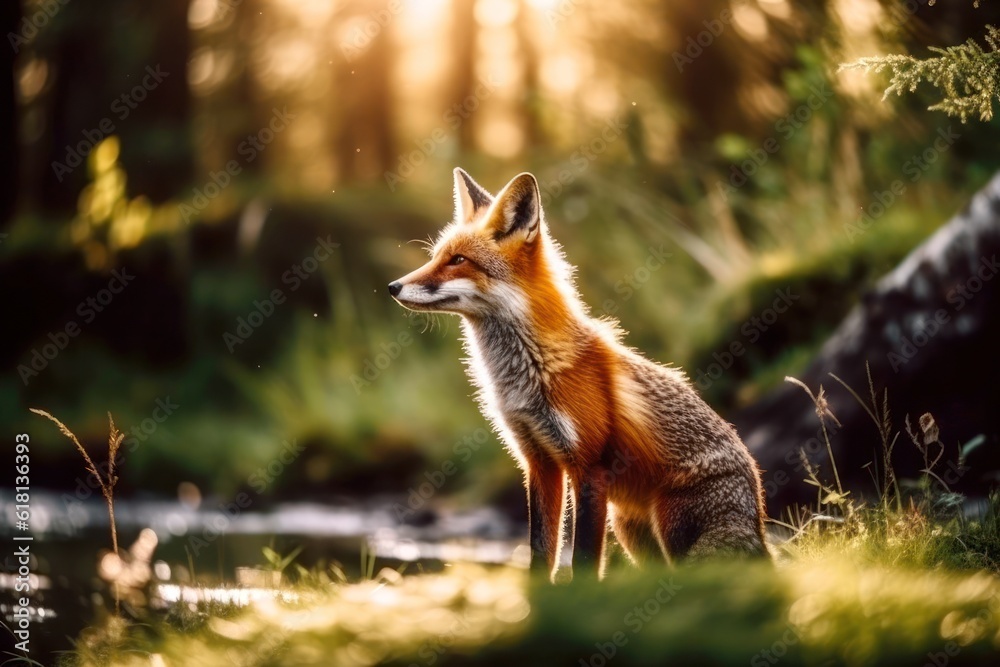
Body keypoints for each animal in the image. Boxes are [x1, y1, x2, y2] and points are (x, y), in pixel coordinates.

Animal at [388, 168, 769, 579]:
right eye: (436, 257)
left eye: (458, 260)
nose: (393, 287)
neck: (531, 370)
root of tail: (759, 517)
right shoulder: (539, 461)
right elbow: (541, 550)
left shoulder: (589, 467)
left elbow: (583, 558)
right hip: (629, 528)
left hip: (672, 526)